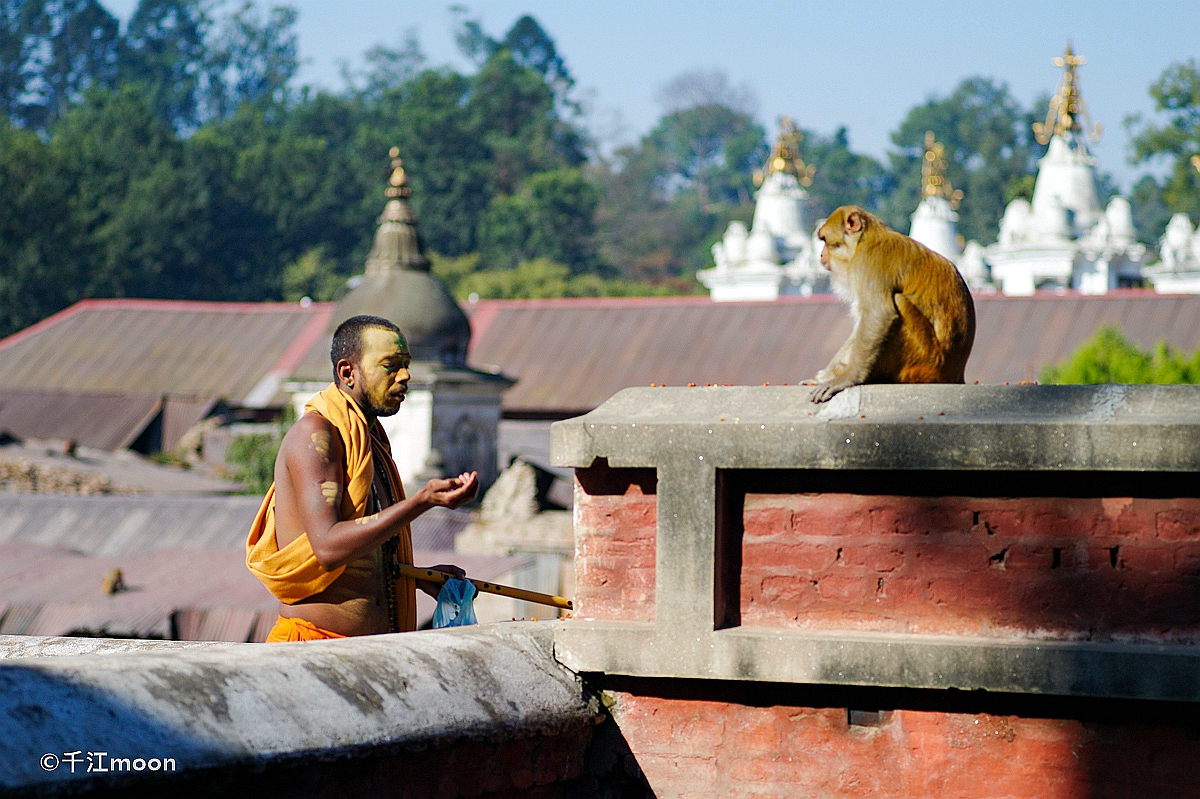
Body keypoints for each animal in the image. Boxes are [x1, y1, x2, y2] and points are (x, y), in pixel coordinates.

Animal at [806, 206, 974, 405]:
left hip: (927, 361)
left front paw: (846, 378)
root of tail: (956, 374)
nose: (821, 255)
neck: (864, 239)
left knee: (898, 301)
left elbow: (879, 314)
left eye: (825, 241)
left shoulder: (868, 262)